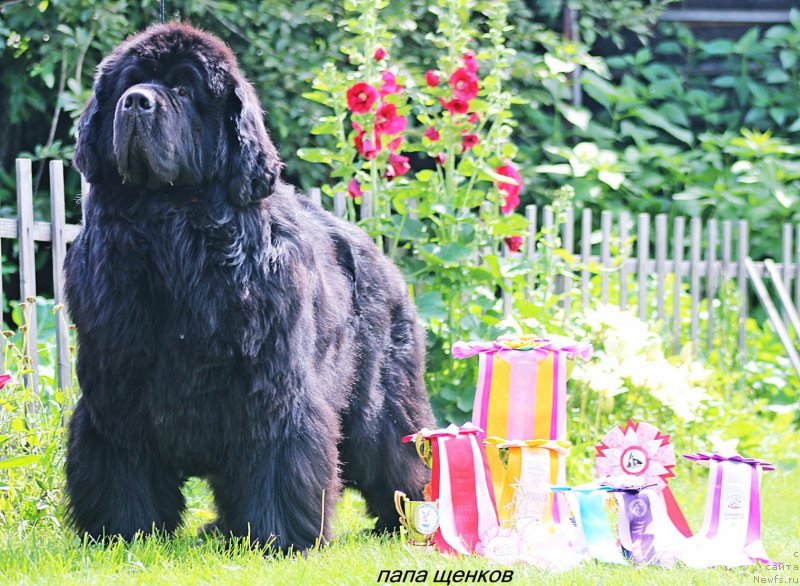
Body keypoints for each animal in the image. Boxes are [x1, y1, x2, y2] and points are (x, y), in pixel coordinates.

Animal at [65, 22, 434, 548]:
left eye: (183, 90)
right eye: (127, 84)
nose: (136, 102)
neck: (171, 224)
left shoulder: (270, 388)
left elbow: (277, 455)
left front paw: (279, 538)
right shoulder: (116, 385)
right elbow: (120, 461)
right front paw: (124, 533)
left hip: (380, 399)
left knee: (395, 452)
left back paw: (412, 520)